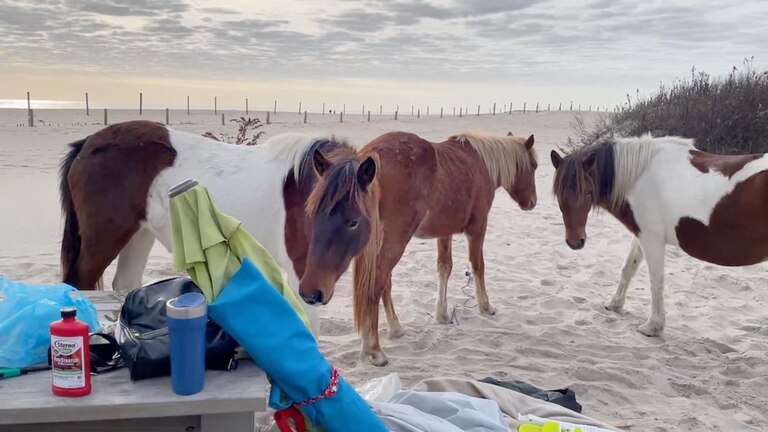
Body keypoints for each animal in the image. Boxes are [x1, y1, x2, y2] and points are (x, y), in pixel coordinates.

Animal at [58, 120, 379, 334]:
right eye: (311, 214)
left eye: (353, 221)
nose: (314, 293)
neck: (300, 185)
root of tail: (87, 144)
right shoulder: (301, 273)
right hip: (103, 241)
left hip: (139, 236)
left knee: (125, 284)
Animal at [338, 130, 538, 366]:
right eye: (533, 165)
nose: (532, 202)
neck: (480, 163)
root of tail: (372, 154)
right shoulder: (478, 228)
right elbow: (478, 266)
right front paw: (486, 306)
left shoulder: (444, 233)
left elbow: (445, 268)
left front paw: (442, 314)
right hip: (396, 239)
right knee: (377, 281)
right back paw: (374, 348)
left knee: (382, 281)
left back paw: (393, 329)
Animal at [550, 134, 768, 337]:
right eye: (559, 194)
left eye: (587, 193)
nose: (575, 241)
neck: (641, 175)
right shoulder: (641, 234)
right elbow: (628, 269)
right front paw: (615, 304)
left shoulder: (651, 238)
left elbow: (656, 282)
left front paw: (653, 327)